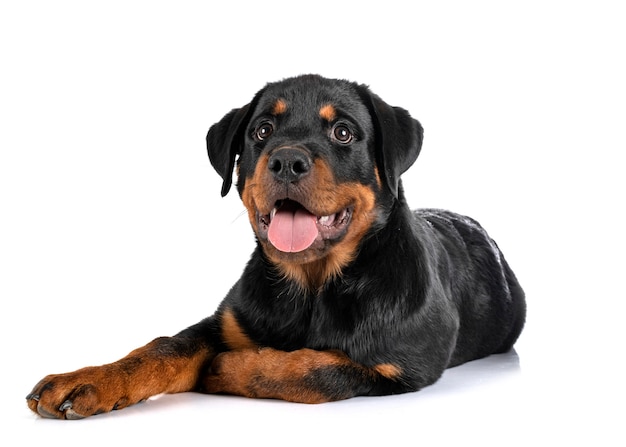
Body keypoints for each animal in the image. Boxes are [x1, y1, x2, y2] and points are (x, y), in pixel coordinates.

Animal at [25, 74, 520, 420]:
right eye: (262, 130)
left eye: (343, 132)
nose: (286, 160)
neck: (311, 286)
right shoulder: (223, 323)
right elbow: (162, 347)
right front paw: (86, 380)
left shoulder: (399, 364)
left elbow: (320, 369)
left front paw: (229, 369)